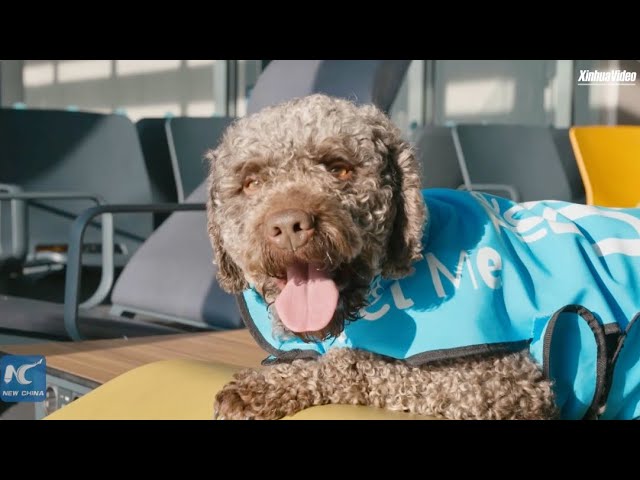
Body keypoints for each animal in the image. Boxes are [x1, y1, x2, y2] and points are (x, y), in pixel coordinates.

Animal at [205, 94, 556, 420]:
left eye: (340, 169)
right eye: (251, 182)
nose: (289, 225)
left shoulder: (500, 383)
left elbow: (357, 363)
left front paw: (263, 385)